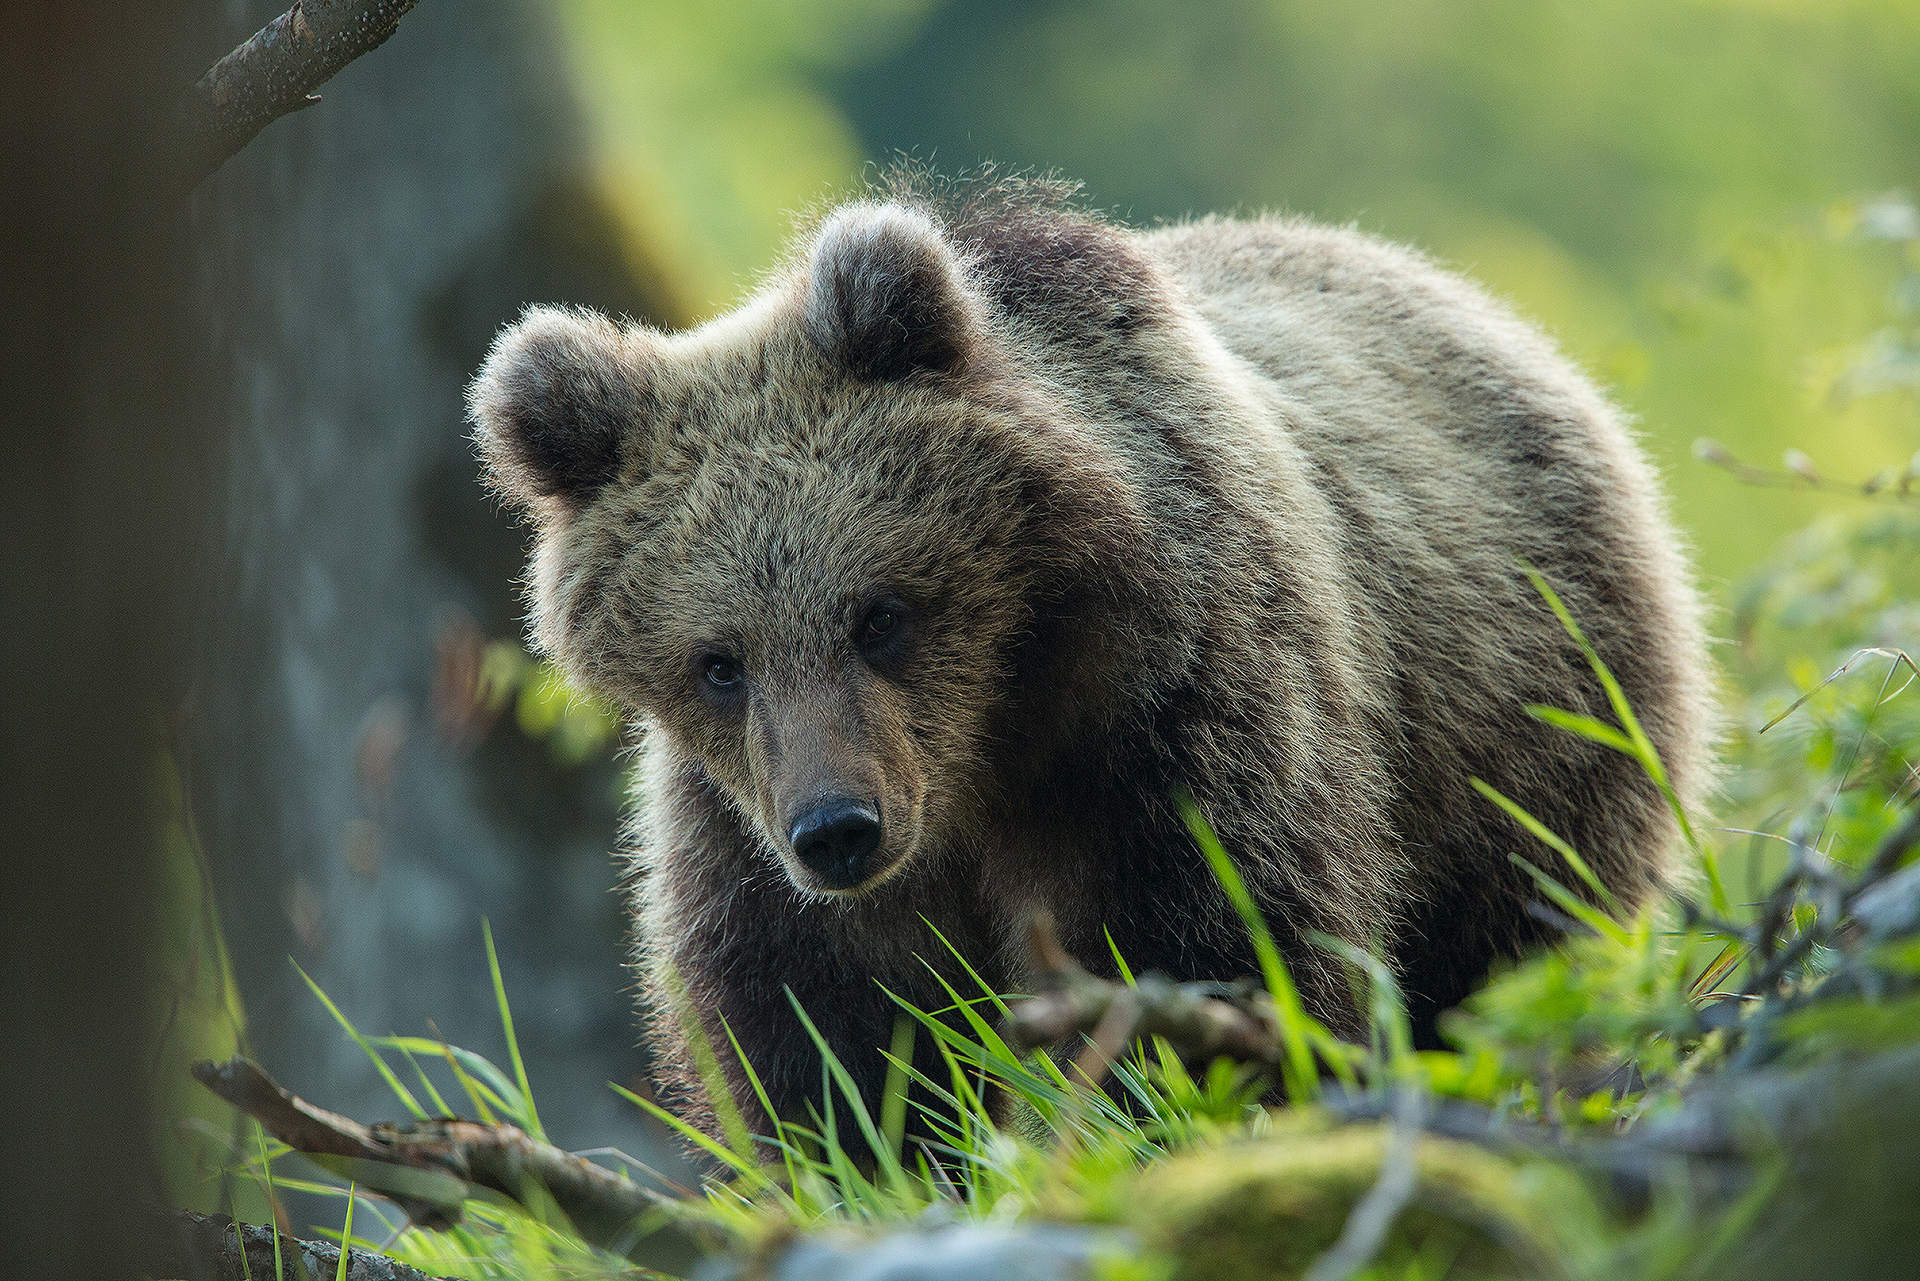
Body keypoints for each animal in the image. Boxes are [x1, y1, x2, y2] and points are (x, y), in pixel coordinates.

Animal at [464, 175, 1712, 1144]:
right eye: (719, 660)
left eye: (881, 614)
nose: (839, 829)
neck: (987, 747)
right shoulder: (748, 836)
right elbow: (830, 1046)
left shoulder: (1169, 731)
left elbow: (1202, 960)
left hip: (1529, 723)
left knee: (1508, 956)